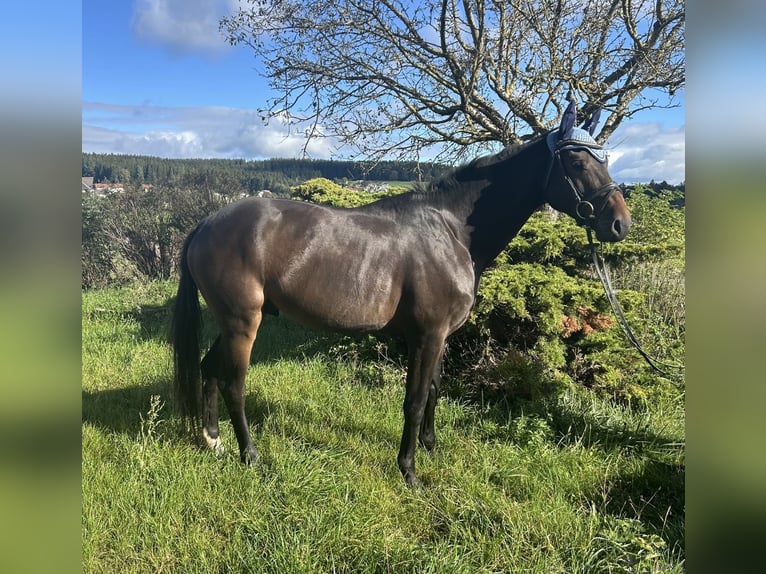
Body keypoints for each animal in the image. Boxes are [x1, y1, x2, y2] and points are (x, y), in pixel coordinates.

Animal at [171, 103, 632, 486]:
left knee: (208, 370)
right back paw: (251, 455)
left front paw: (430, 448)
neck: (451, 229)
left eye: (604, 158)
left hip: (235, 321)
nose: (619, 224)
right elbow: (414, 399)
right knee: (233, 384)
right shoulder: (426, 335)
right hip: (243, 322)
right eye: (576, 160)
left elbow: (433, 392)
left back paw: (213, 441)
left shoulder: (439, 336)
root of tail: (207, 224)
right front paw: (409, 472)